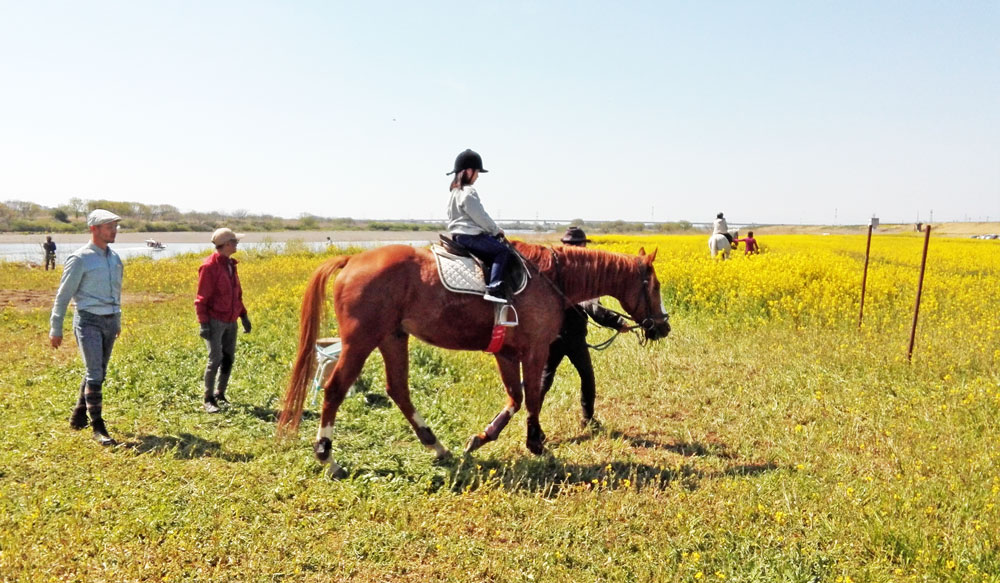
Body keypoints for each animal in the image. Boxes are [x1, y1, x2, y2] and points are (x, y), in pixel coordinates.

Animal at [280, 240, 672, 476]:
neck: (551, 278)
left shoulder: (507, 353)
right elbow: (532, 398)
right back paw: (327, 457)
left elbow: (515, 398)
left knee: (399, 390)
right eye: (654, 286)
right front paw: (536, 444)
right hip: (360, 341)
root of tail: (351, 260)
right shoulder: (535, 351)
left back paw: (437, 447)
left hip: (393, 338)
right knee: (334, 390)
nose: (663, 326)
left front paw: (482, 438)